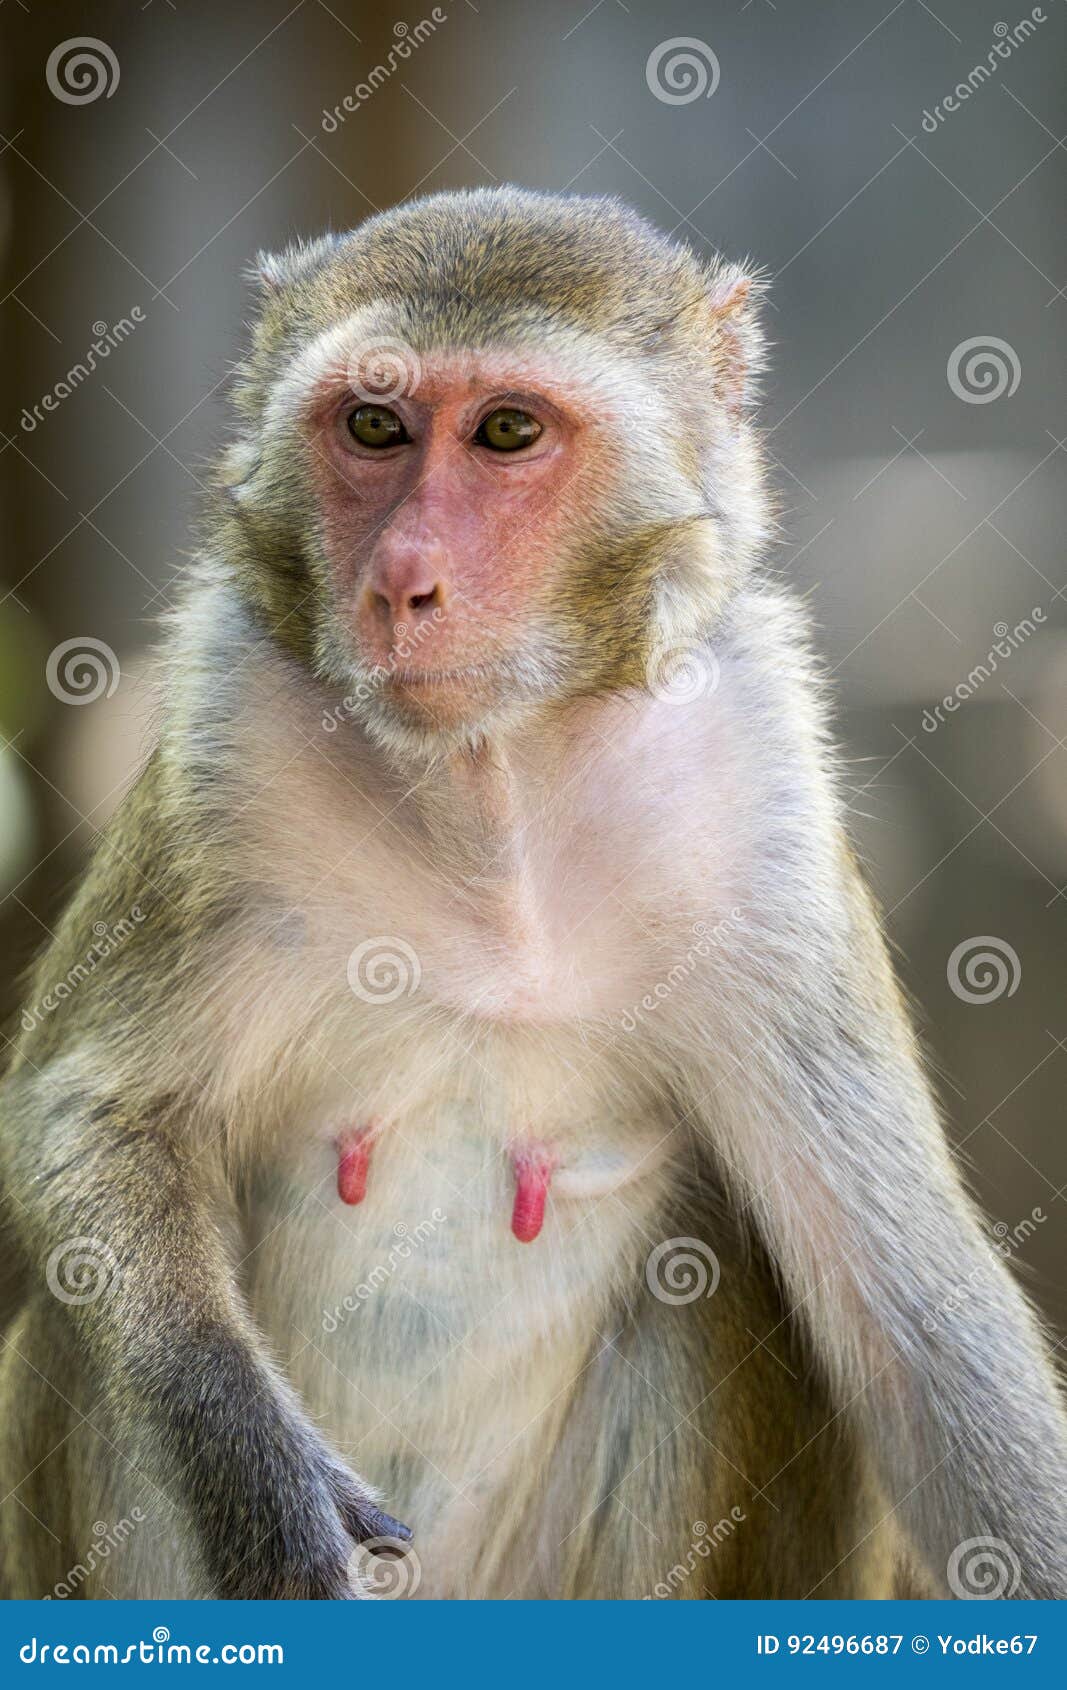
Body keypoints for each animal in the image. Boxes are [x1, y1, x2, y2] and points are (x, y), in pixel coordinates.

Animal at [1, 186, 1065, 1601]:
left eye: (506, 431)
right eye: (373, 426)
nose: (399, 580)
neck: (491, 786)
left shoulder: (763, 815)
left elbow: (916, 1322)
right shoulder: (221, 740)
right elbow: (87, 1118)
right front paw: (264, 1484)